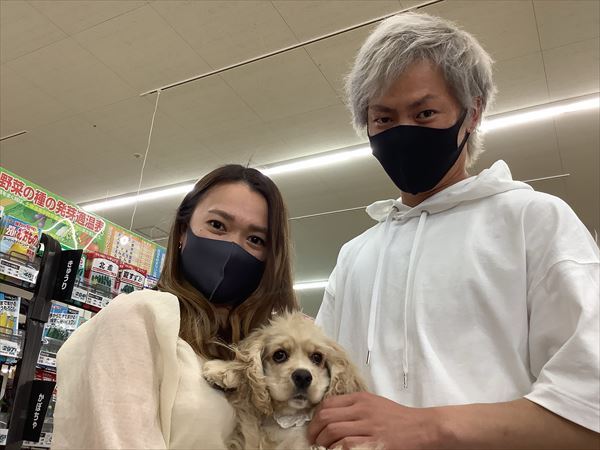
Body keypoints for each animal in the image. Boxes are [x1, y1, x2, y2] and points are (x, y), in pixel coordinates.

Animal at [202, 311, 372, 450]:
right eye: (279, 355)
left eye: (317, 357)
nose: (303, 376)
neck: (291, 416)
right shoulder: (252, 439)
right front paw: (224, 370)